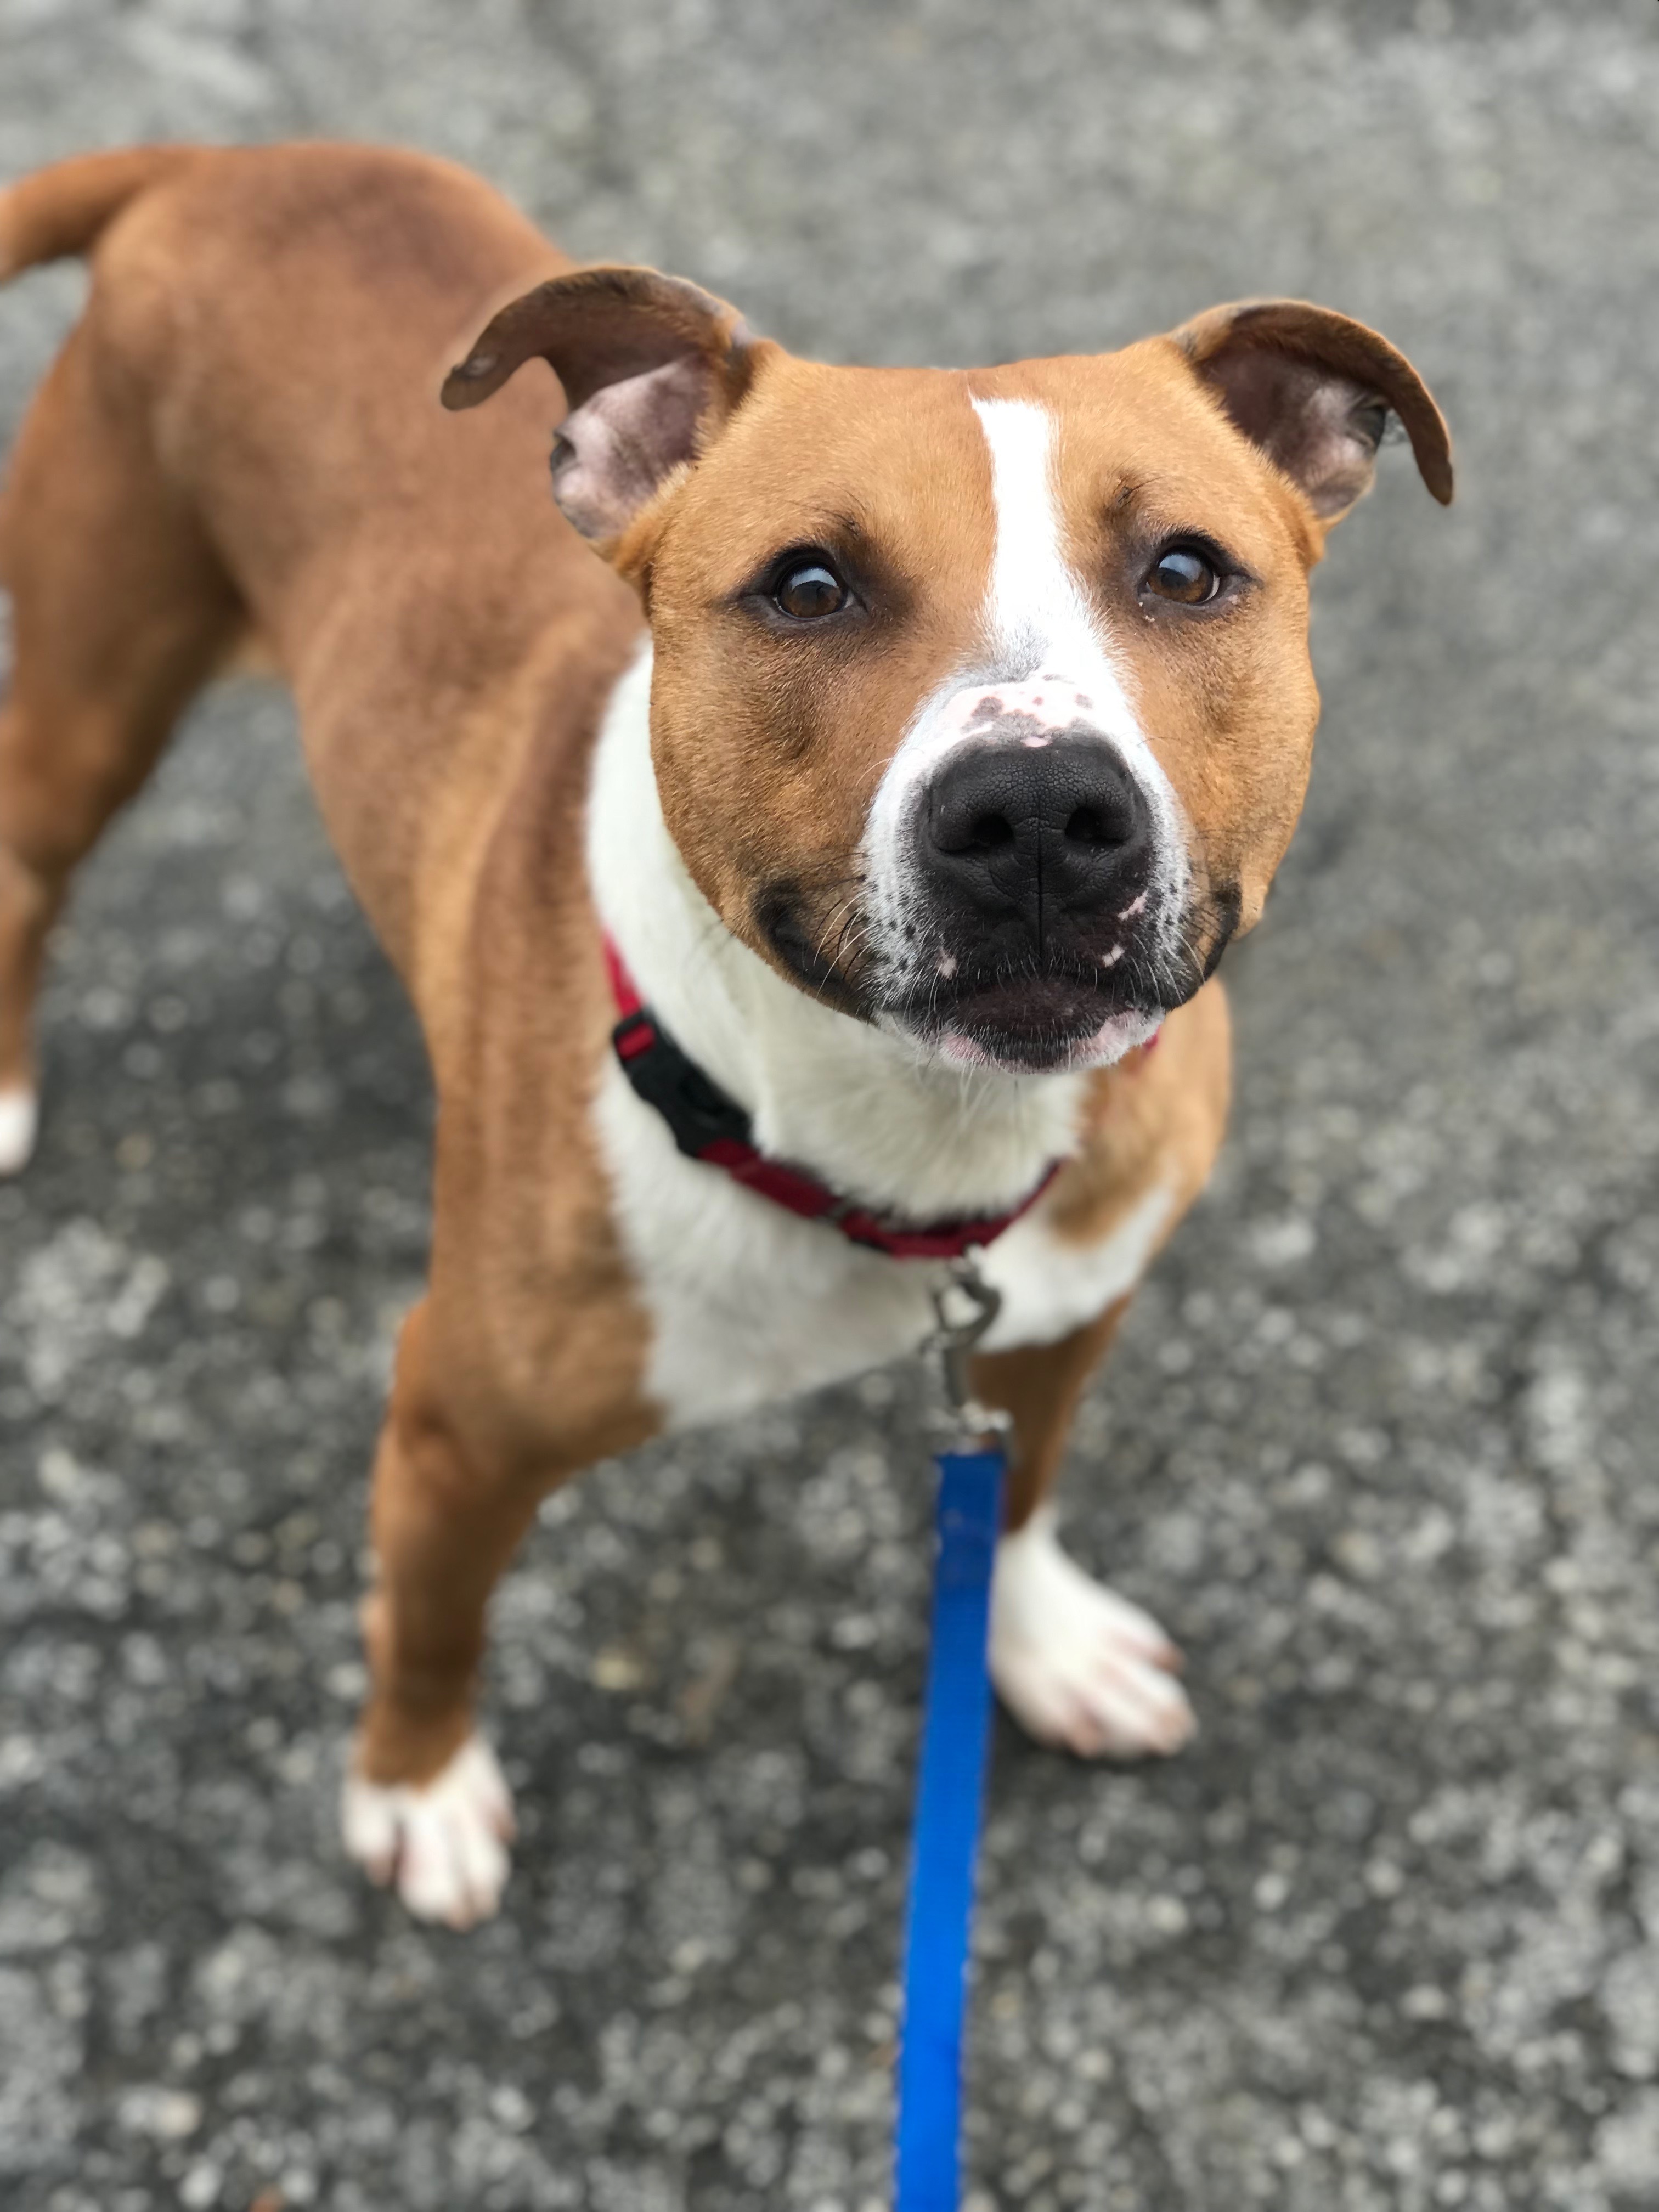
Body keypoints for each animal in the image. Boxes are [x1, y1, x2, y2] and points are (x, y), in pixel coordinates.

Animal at [0, 147, 1451, 1928]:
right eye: (806, 587)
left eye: (1186, 571)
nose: (1040, 812)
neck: (909, 1144)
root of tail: (232, 162)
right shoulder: (453, 1433)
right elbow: (431, 1625)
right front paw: (414, 1788)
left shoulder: (1063, 1314)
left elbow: (1017, 1493)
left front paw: (1039, 1644)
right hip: (95, 680)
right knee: (26, 865)